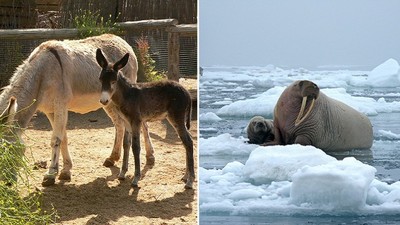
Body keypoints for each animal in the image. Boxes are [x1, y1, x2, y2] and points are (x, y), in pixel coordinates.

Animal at [94, 48, 194, 188]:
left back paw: (190, 181)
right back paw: (185, 176)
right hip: (176, 119)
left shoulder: (136, 121)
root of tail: (187, 92)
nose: (104, 101)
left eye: (113, 81)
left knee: (188, 142)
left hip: (177, 117)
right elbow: (126, 144)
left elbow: (136, 147)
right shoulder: (127, 122)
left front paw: (136, 179)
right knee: (186, 142)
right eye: (100, 80)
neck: (126, 96)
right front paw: (122, 174)